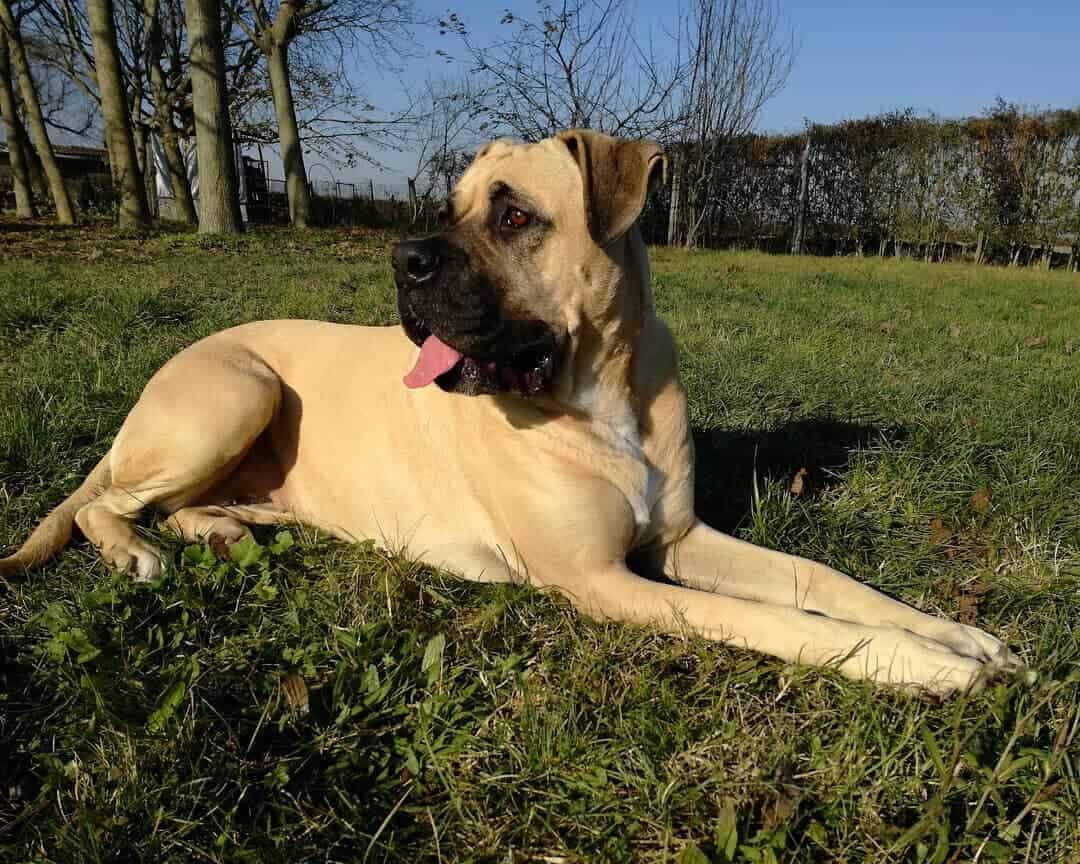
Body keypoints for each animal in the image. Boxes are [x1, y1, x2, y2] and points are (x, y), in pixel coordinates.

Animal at [0, 130, 1023, 695]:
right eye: (445, 209)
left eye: (515, 216)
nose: (403, 259)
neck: (601, 394)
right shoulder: (603, 580)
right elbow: (779, 624)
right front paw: (920, 667)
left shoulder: (681, 539)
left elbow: (821, 581)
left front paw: (957, 635)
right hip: (238, 390)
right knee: (104, 504)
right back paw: (139, 552)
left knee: (174, 503)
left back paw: (224, 530)